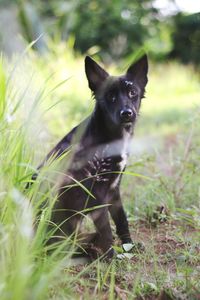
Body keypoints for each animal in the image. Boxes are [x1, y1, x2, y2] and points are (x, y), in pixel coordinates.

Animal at [30, 55, 148, 258]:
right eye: (111, 96)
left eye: (133, 92)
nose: (127, 113)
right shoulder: (96, 194)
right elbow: (107, 230)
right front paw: (112, 257)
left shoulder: (113, 189)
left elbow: (122, 221)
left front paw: (129, 247)